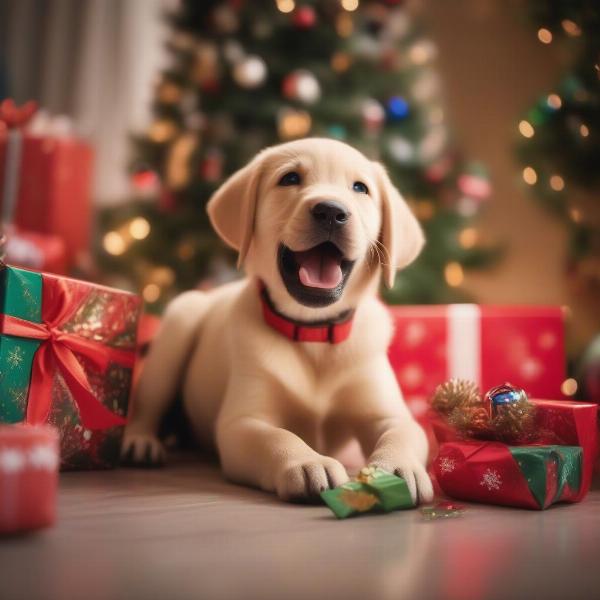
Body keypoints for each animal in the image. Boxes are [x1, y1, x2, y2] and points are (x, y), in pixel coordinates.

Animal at [122, 138, 434, 504]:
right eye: (290, 179)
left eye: (360, 188)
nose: (331, 211)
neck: (313, 333)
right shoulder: (242, 422)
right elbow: (278, 438)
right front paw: (306, 462)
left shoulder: (386, 412)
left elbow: (403, 432)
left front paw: (395, 467)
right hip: (179, 327)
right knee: (147, 404)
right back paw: (139, 442)